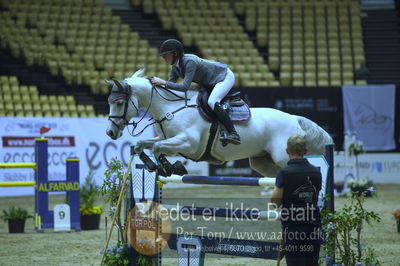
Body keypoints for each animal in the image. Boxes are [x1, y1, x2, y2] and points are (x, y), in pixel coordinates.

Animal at [105, 69, 332, 177]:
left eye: (119, 103)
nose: (110, 133)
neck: (171, 108)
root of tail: (294, 118)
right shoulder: (169, 139)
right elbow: (142, 145)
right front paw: (154, 165)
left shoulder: (188, 143)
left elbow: (158, 147)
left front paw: (171, 168)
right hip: (263, 162)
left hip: (283, 157)